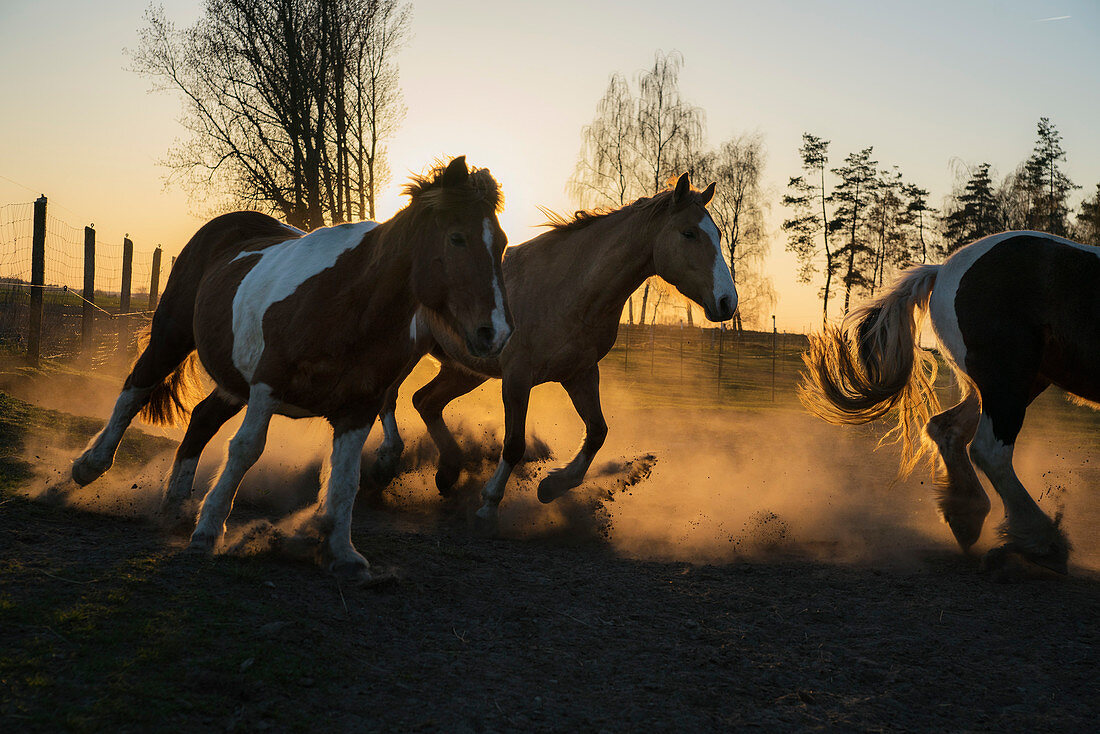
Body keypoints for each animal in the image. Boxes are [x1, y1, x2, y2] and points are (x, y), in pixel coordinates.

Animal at [70, 158, 508, 581]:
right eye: (457, 238)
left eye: (502, 245)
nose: (495, 333)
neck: (349, 304)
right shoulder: (268, 385)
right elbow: (245, 450)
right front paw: (209, 531)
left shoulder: (359, 408)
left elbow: (345, 478)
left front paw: (341, 553)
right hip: (171, 336)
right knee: (135, 389)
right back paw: (90, 467)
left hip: (233, 383)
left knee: (201, 418)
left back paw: (176, 504)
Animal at [371, 174, 739, 526]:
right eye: (689, 233)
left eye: (718, 234)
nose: (727, 301)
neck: (568, 289)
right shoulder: (517, 377)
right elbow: (514, 444)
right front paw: (489, 504)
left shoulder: (580, 374)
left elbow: (597, 432)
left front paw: (552, 485)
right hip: (408, 351)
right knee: (389, 396)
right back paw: (387, 461)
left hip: (463, 369)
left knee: (425, 401)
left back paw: (448, 472)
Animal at [800, 231, 1100, 572]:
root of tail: (943, 270)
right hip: (1007, 378)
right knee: (990, 451)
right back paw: (1042, 542)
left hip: (1011, 384)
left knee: (948, 429)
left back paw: (966, 516)